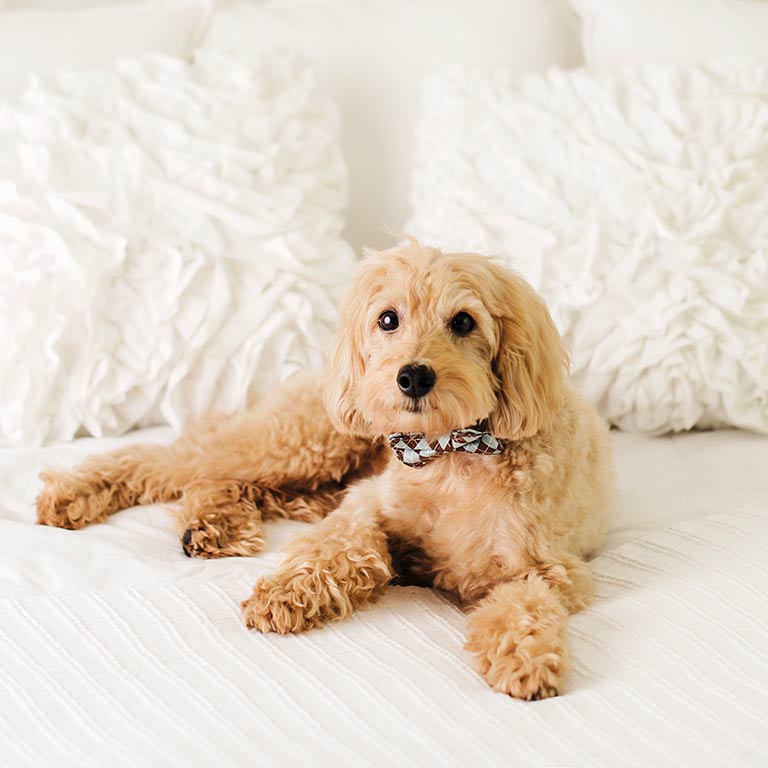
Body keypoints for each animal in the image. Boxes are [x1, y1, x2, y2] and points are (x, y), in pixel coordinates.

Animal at [36, 242, 616, 704]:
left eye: (464, 321)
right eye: (388, 319)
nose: (412, 376)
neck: (448, 456)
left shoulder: (547, 569)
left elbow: (522, 609)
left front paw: (525, 659)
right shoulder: (366, 503)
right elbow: (338, 547)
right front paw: (284, 595)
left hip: (306, 479)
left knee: (214, 482)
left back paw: (214, 525)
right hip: (303, 444)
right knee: (171, 461)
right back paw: (73, 494)